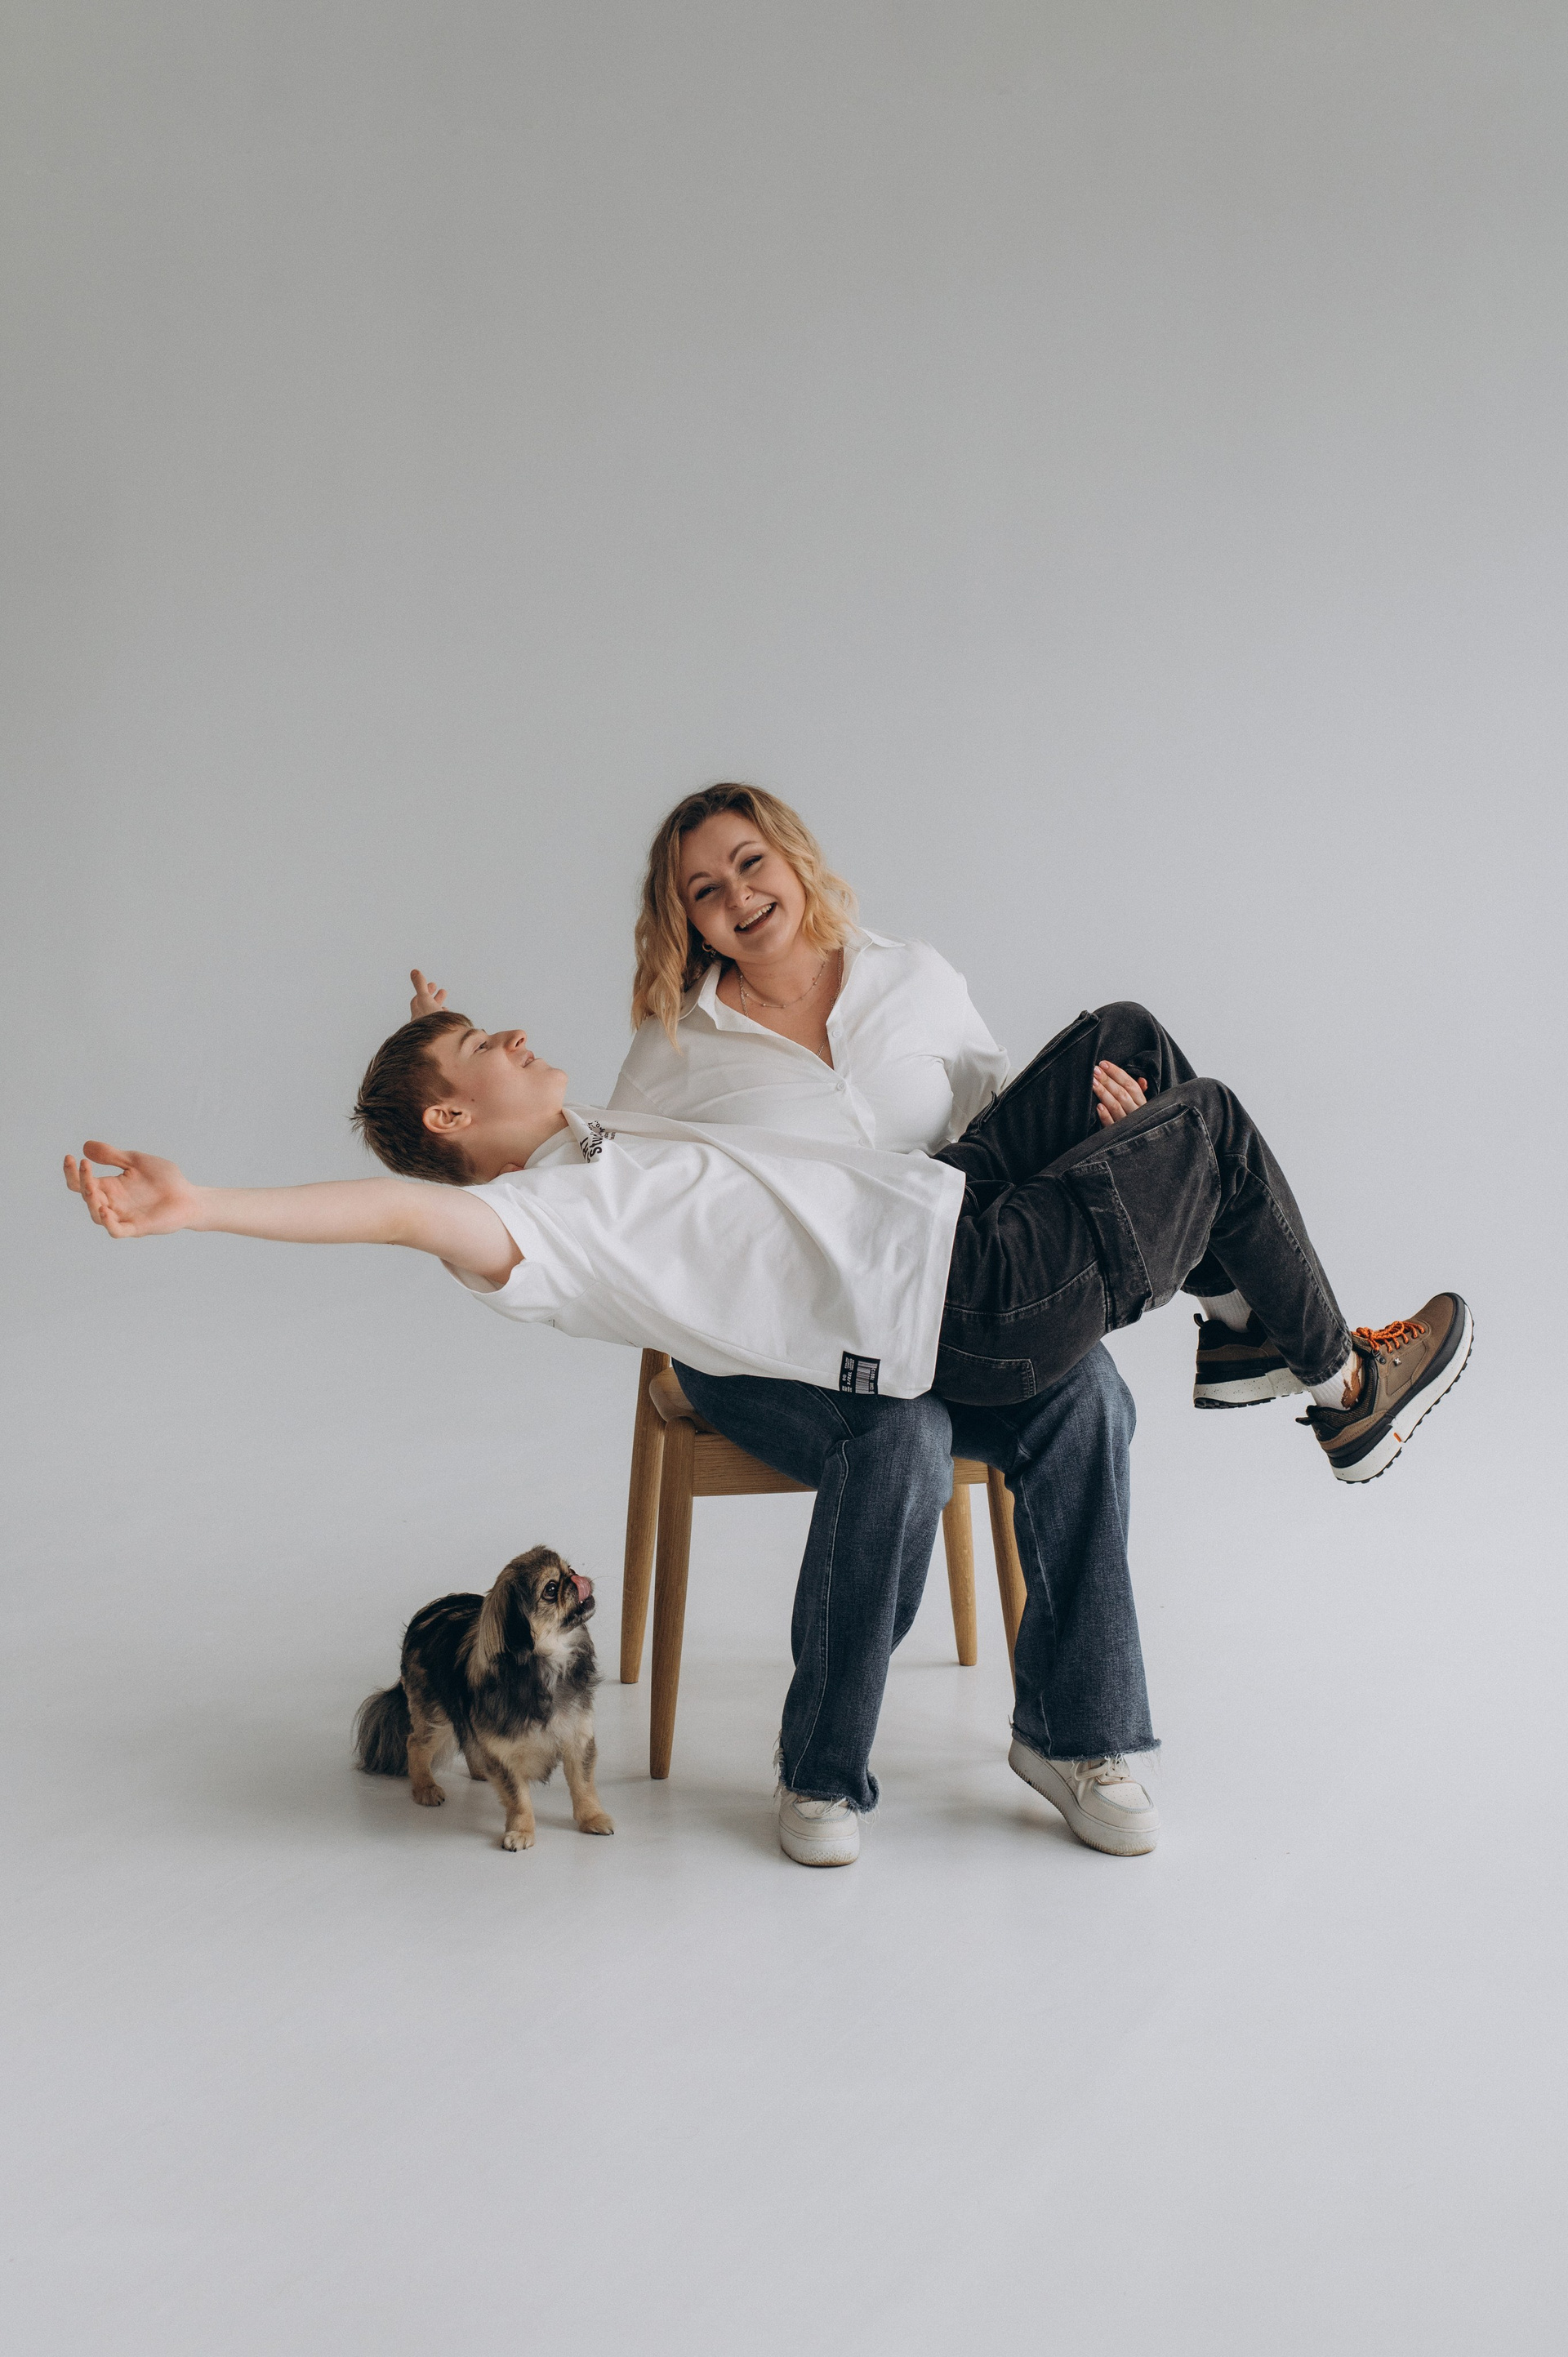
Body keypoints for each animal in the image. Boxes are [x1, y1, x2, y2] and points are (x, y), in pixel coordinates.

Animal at [354, 1546, 614, 1850]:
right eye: (550, 1589)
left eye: (569, 1569)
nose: (575, 1579)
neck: (547, 1668)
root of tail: (421, 1619)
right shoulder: (504, 1753)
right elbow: (519, 1799)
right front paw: (521, 1832)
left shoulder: (577, 1738)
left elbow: (583, 1786)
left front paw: (592, 1819)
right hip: (436, 1719)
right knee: (415, 1744)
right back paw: (425, 1787)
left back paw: (479, 1772)